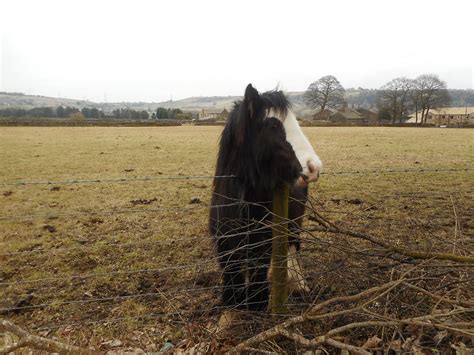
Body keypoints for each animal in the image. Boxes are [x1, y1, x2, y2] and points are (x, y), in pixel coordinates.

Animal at [208, 84, 322, 328]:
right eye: (272, 125)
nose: (313, 167)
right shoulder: (225, 244)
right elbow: (231, 274)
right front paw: (230, 311)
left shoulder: (262, 243)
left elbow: (258, 271)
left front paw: (257, 305)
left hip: (294, 223)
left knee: (293, 246)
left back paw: (298, 283)